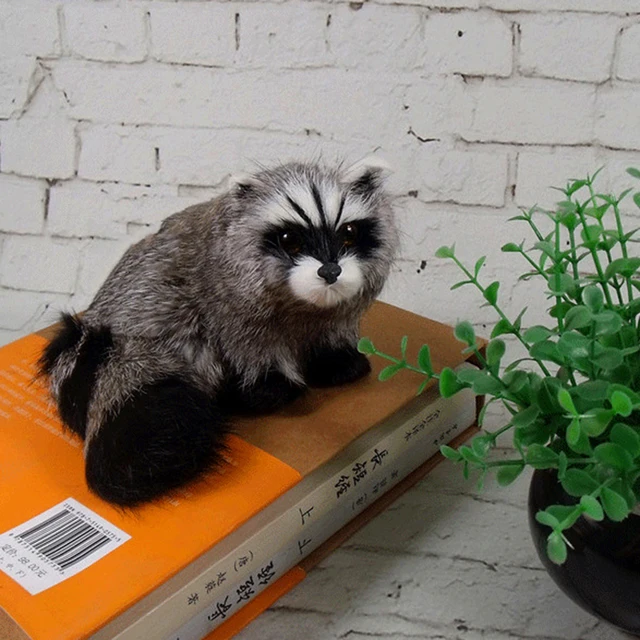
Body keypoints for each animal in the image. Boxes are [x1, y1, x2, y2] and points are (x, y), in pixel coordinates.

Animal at [38, 158, 398, 506]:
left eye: (349, 232)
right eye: (290, 240)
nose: (331, 271)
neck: (299, 303)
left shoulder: (333, 310)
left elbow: (331, 328)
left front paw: (334, 358)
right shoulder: (227, 303)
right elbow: (250, 346)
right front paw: (267, 384)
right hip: (139, 327)